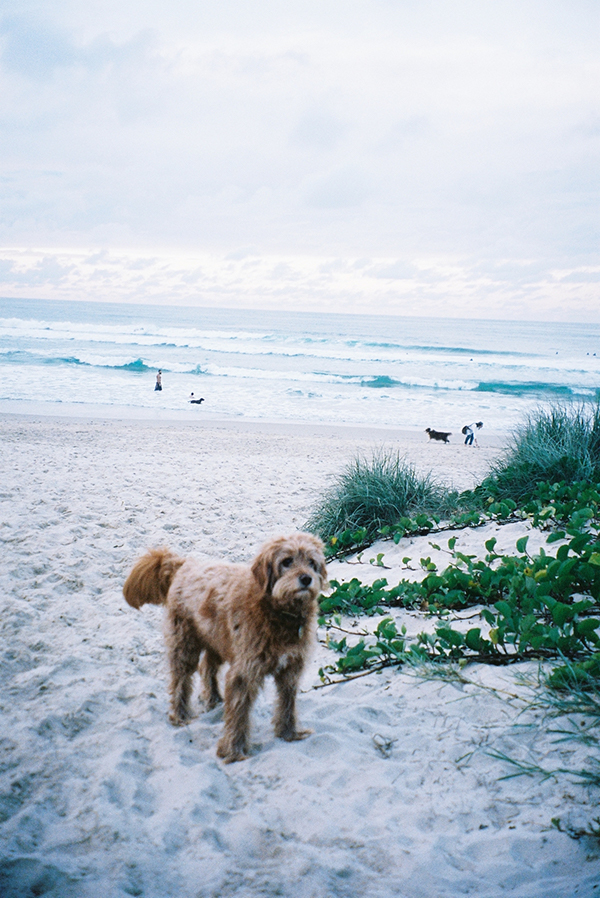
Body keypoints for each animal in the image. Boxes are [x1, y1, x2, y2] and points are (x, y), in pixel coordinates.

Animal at [123, 532, 326, 764]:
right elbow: (238, 713)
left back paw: (213, 698)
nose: (306, 579)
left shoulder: (291, 669)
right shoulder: (244, 672)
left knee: (207, 667)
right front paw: (234, 751)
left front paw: (289, 733)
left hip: (217, 640)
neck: (279, 612)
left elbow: (287, 704)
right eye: (287, 561)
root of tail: (183, 564)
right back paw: (180, 715)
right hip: (184, 645)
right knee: (180, 680)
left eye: (311, 562)